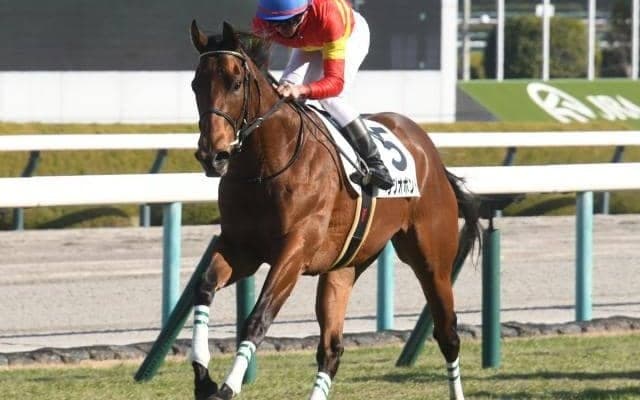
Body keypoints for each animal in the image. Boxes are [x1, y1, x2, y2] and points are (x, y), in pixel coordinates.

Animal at [188, 20, 481, 400]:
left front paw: (227, 386)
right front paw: (203, 376)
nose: (213, 155)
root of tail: (429, 150)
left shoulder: (294, 251)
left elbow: (258, 317)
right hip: (345, 266)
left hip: (432, 261)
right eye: (196, 84)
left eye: (235, 83)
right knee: (331, 350)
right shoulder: (242, 248)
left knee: (448, 334)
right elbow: (204, 287)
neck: (267, 163)